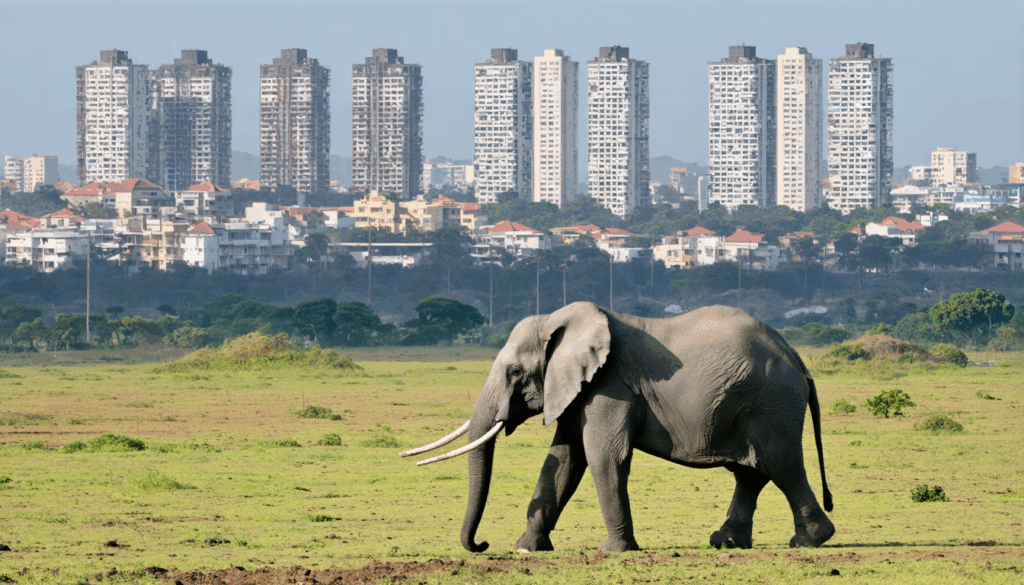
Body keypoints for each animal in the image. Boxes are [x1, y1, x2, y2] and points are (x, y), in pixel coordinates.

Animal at [402, 302, 834, 553]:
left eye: (514, 372)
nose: (482, 544)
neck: (561, 323)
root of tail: (796, 357)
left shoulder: (610, 385)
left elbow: (601, 456)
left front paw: (612, 552)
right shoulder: (579, 389)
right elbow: (563, 461)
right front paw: (527, 549)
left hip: (771, 401)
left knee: (780, 464)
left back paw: (809, 541)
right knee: (751, 472)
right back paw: (726, 543)